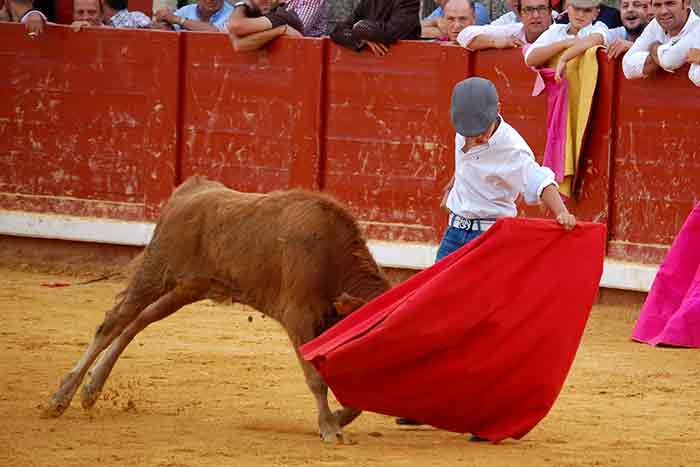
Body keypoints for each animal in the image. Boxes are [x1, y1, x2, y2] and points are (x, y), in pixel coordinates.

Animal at [44, 176, 392, 442]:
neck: (330, 256)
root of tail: (187, 190)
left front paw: (337, 418)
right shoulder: (299, 317)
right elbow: (316, 378)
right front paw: (331, 428)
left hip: (186, 288)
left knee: (137, 321)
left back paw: (91, 389)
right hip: (155, 274)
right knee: (112, 323)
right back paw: (60, 399)